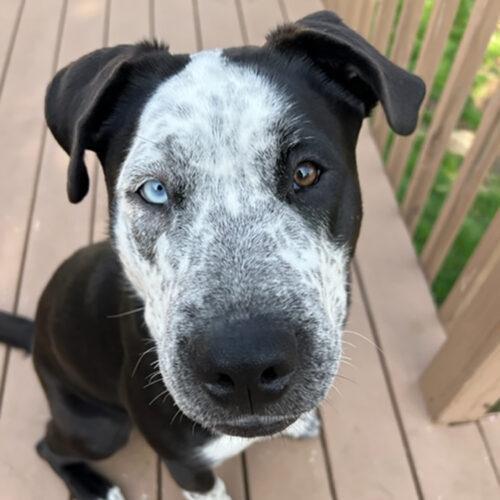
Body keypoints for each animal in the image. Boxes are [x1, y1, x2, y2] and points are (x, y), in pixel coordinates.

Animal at [0, 10, 424, 500]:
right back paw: (95, 487)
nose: (246, 366)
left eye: (305, 172)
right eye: (154, 189)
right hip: (101, 429)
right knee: (47, 446)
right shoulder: (187, 465)